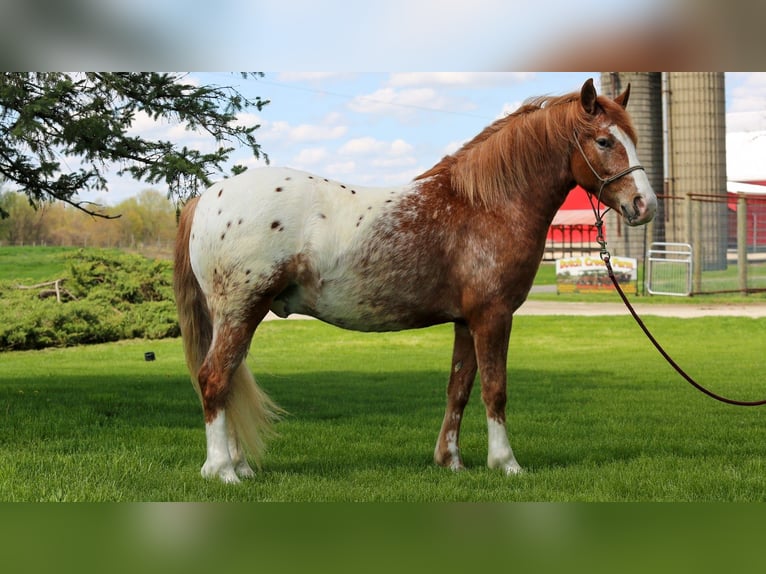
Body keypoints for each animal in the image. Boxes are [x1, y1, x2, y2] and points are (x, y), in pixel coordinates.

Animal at [173, 78, 657, 483]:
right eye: (604, 140)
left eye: (633, 139)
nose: (644, 205)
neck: (485, 204)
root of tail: (208, 197)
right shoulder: (493, 317)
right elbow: (495, 390)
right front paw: (506, 464)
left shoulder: (466, 321)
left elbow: (459, 389)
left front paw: (451, 460)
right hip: (241, 312)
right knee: (214, 380)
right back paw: (223, 471)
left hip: (238, 318)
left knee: (228, 382)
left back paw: (236, 465)